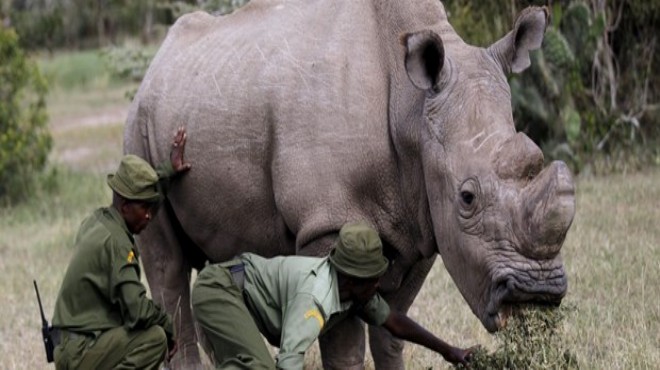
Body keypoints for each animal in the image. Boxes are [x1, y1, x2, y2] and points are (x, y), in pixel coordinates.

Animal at [122, 1, 572, 368]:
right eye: (467, 197)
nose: (538, 291)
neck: (411, 108)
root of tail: (157, 62)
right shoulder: (328, 222)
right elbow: (344, 341)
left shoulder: (421, 220)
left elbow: (392, 328)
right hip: (140, 124)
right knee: (167, 264)